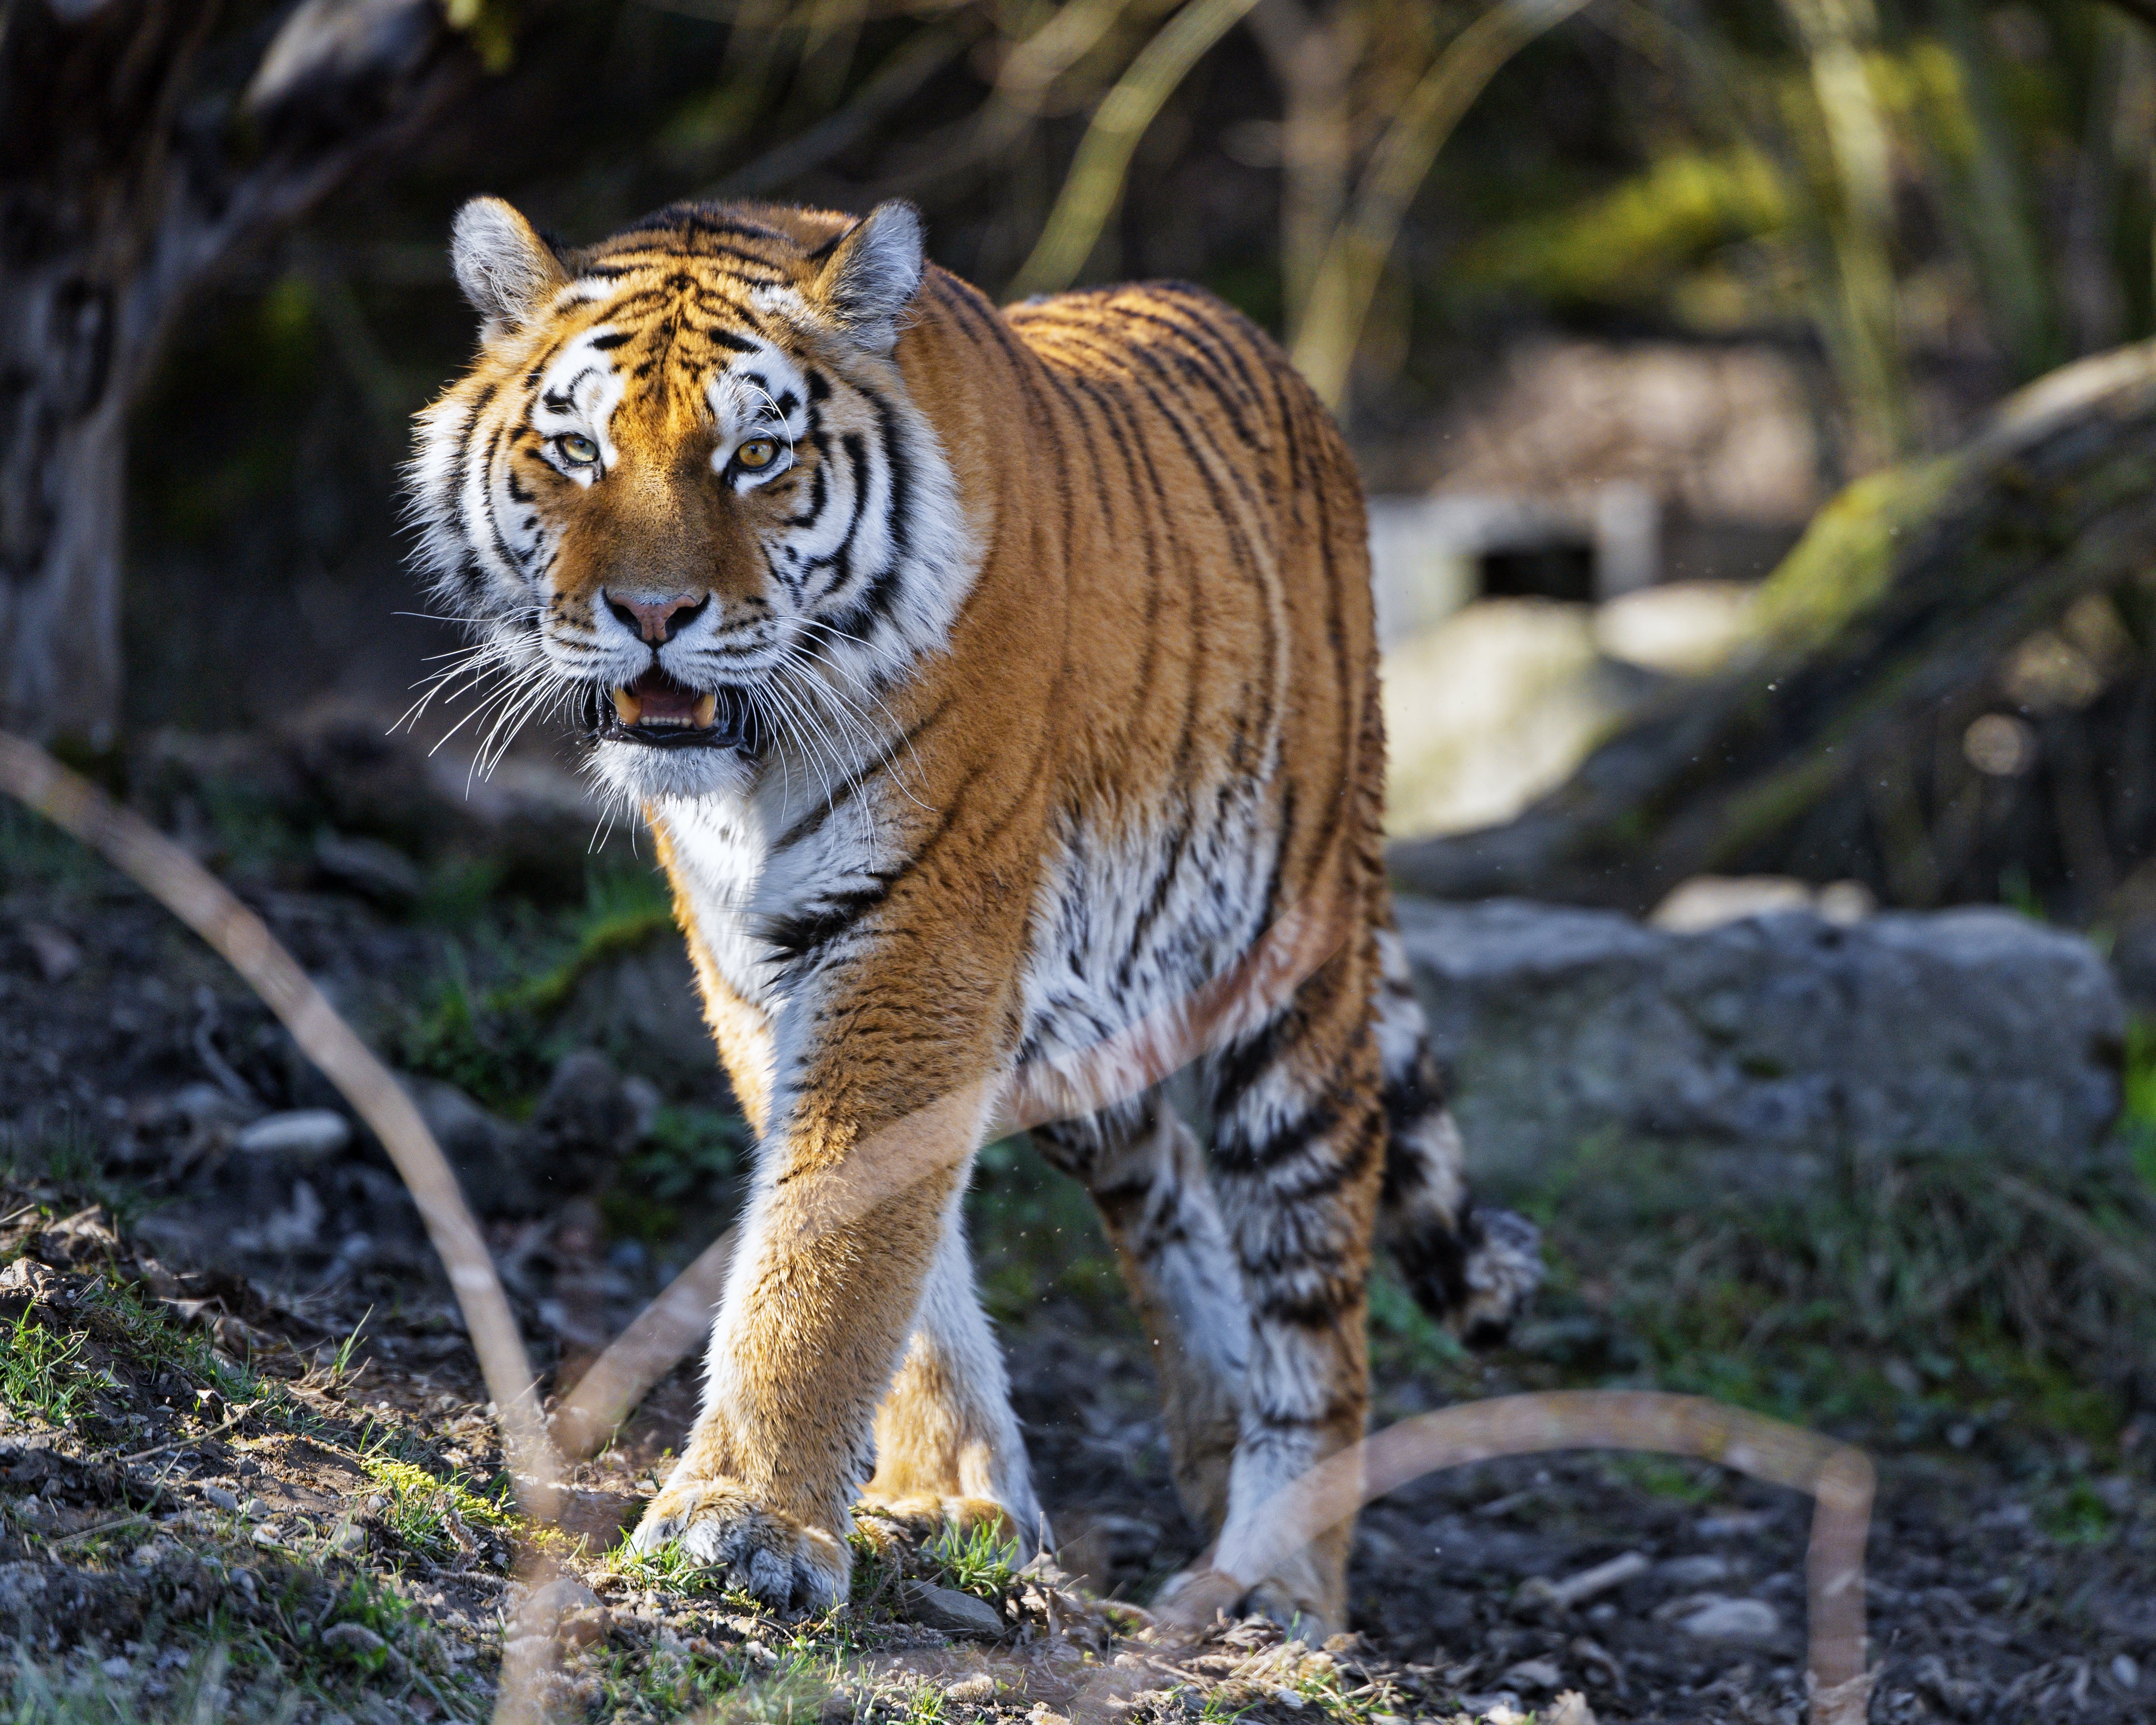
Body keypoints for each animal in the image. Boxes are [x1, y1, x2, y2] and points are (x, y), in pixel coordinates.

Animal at [405, 192, 1543, 1630]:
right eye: (574, 450)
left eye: (756, 455)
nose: (652, 614)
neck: (749, 772)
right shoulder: (757, 968)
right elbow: (893, 1256)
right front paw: (945, 1502)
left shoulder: (917, 933)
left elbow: (834, 1247)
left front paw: (744, 1525)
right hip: (1085, 1019)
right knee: (1165, 1179)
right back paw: (1212, 1446)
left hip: (1295, 979)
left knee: (1315, 1303)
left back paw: (1276, 1574)